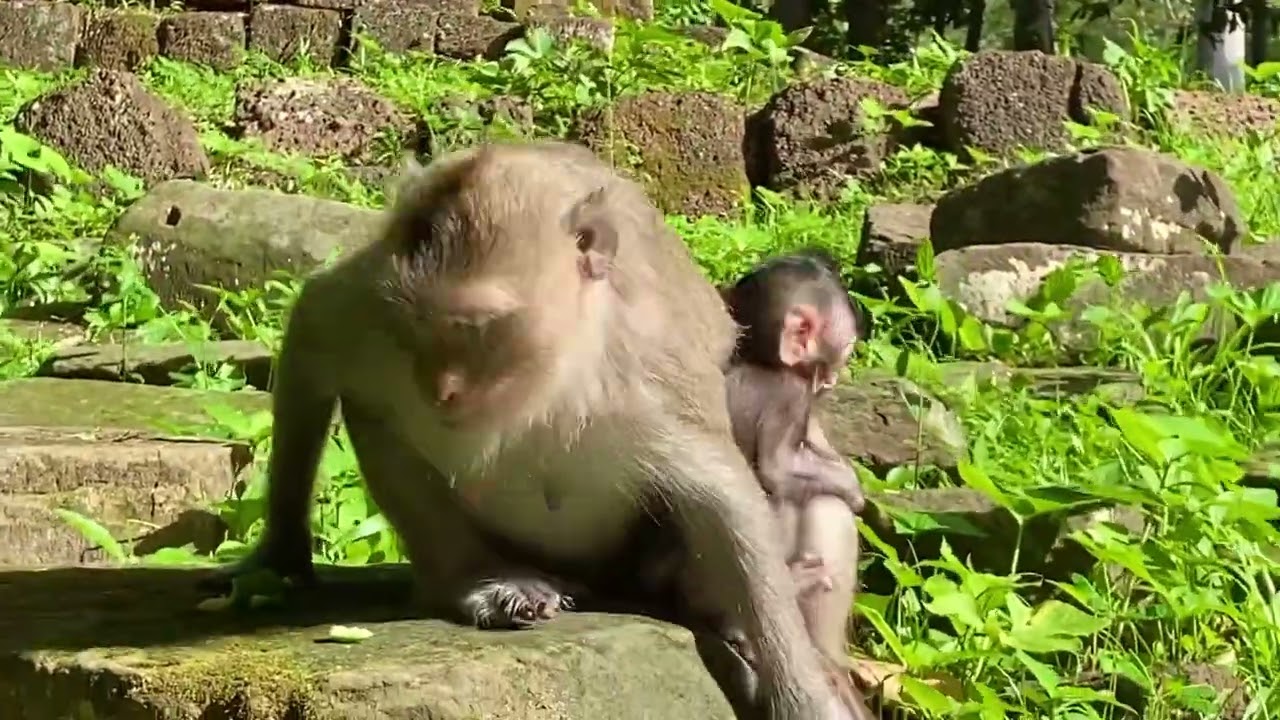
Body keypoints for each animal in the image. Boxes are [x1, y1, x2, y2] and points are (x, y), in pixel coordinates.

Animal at [202, 139, 859, 719]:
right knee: (375, 415)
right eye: (418, 322)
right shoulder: (372, 311)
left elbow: (725, 498)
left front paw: (803, 693)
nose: (442, 388)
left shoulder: (654, 367)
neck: (555, 369)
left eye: (480, 328)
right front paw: (279, 552)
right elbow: (315, 328)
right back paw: (478, 579)